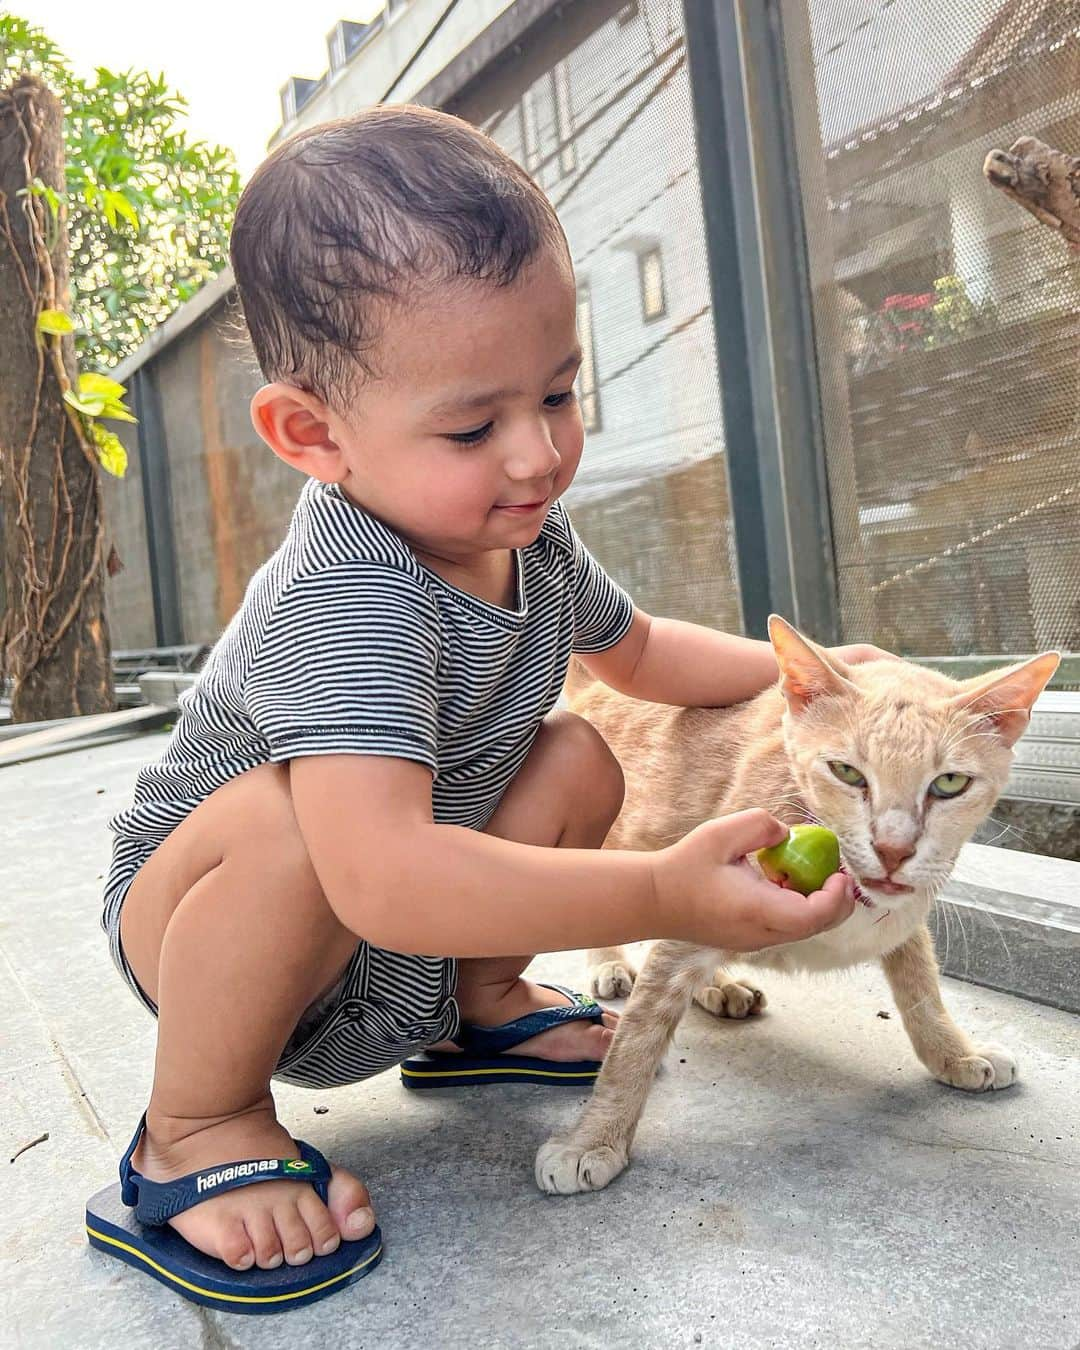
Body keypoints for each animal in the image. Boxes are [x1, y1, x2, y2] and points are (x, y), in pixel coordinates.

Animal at [534, 615, 1058, 1193]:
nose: (893, 850)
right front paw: (594, 1138)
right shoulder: (698, 894)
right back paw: (614, 964)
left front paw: (955, 1053)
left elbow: (922, 988)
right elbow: (637, 1036)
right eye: (848, 772)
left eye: (949, 783)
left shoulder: (905, 912)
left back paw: (721, 986)